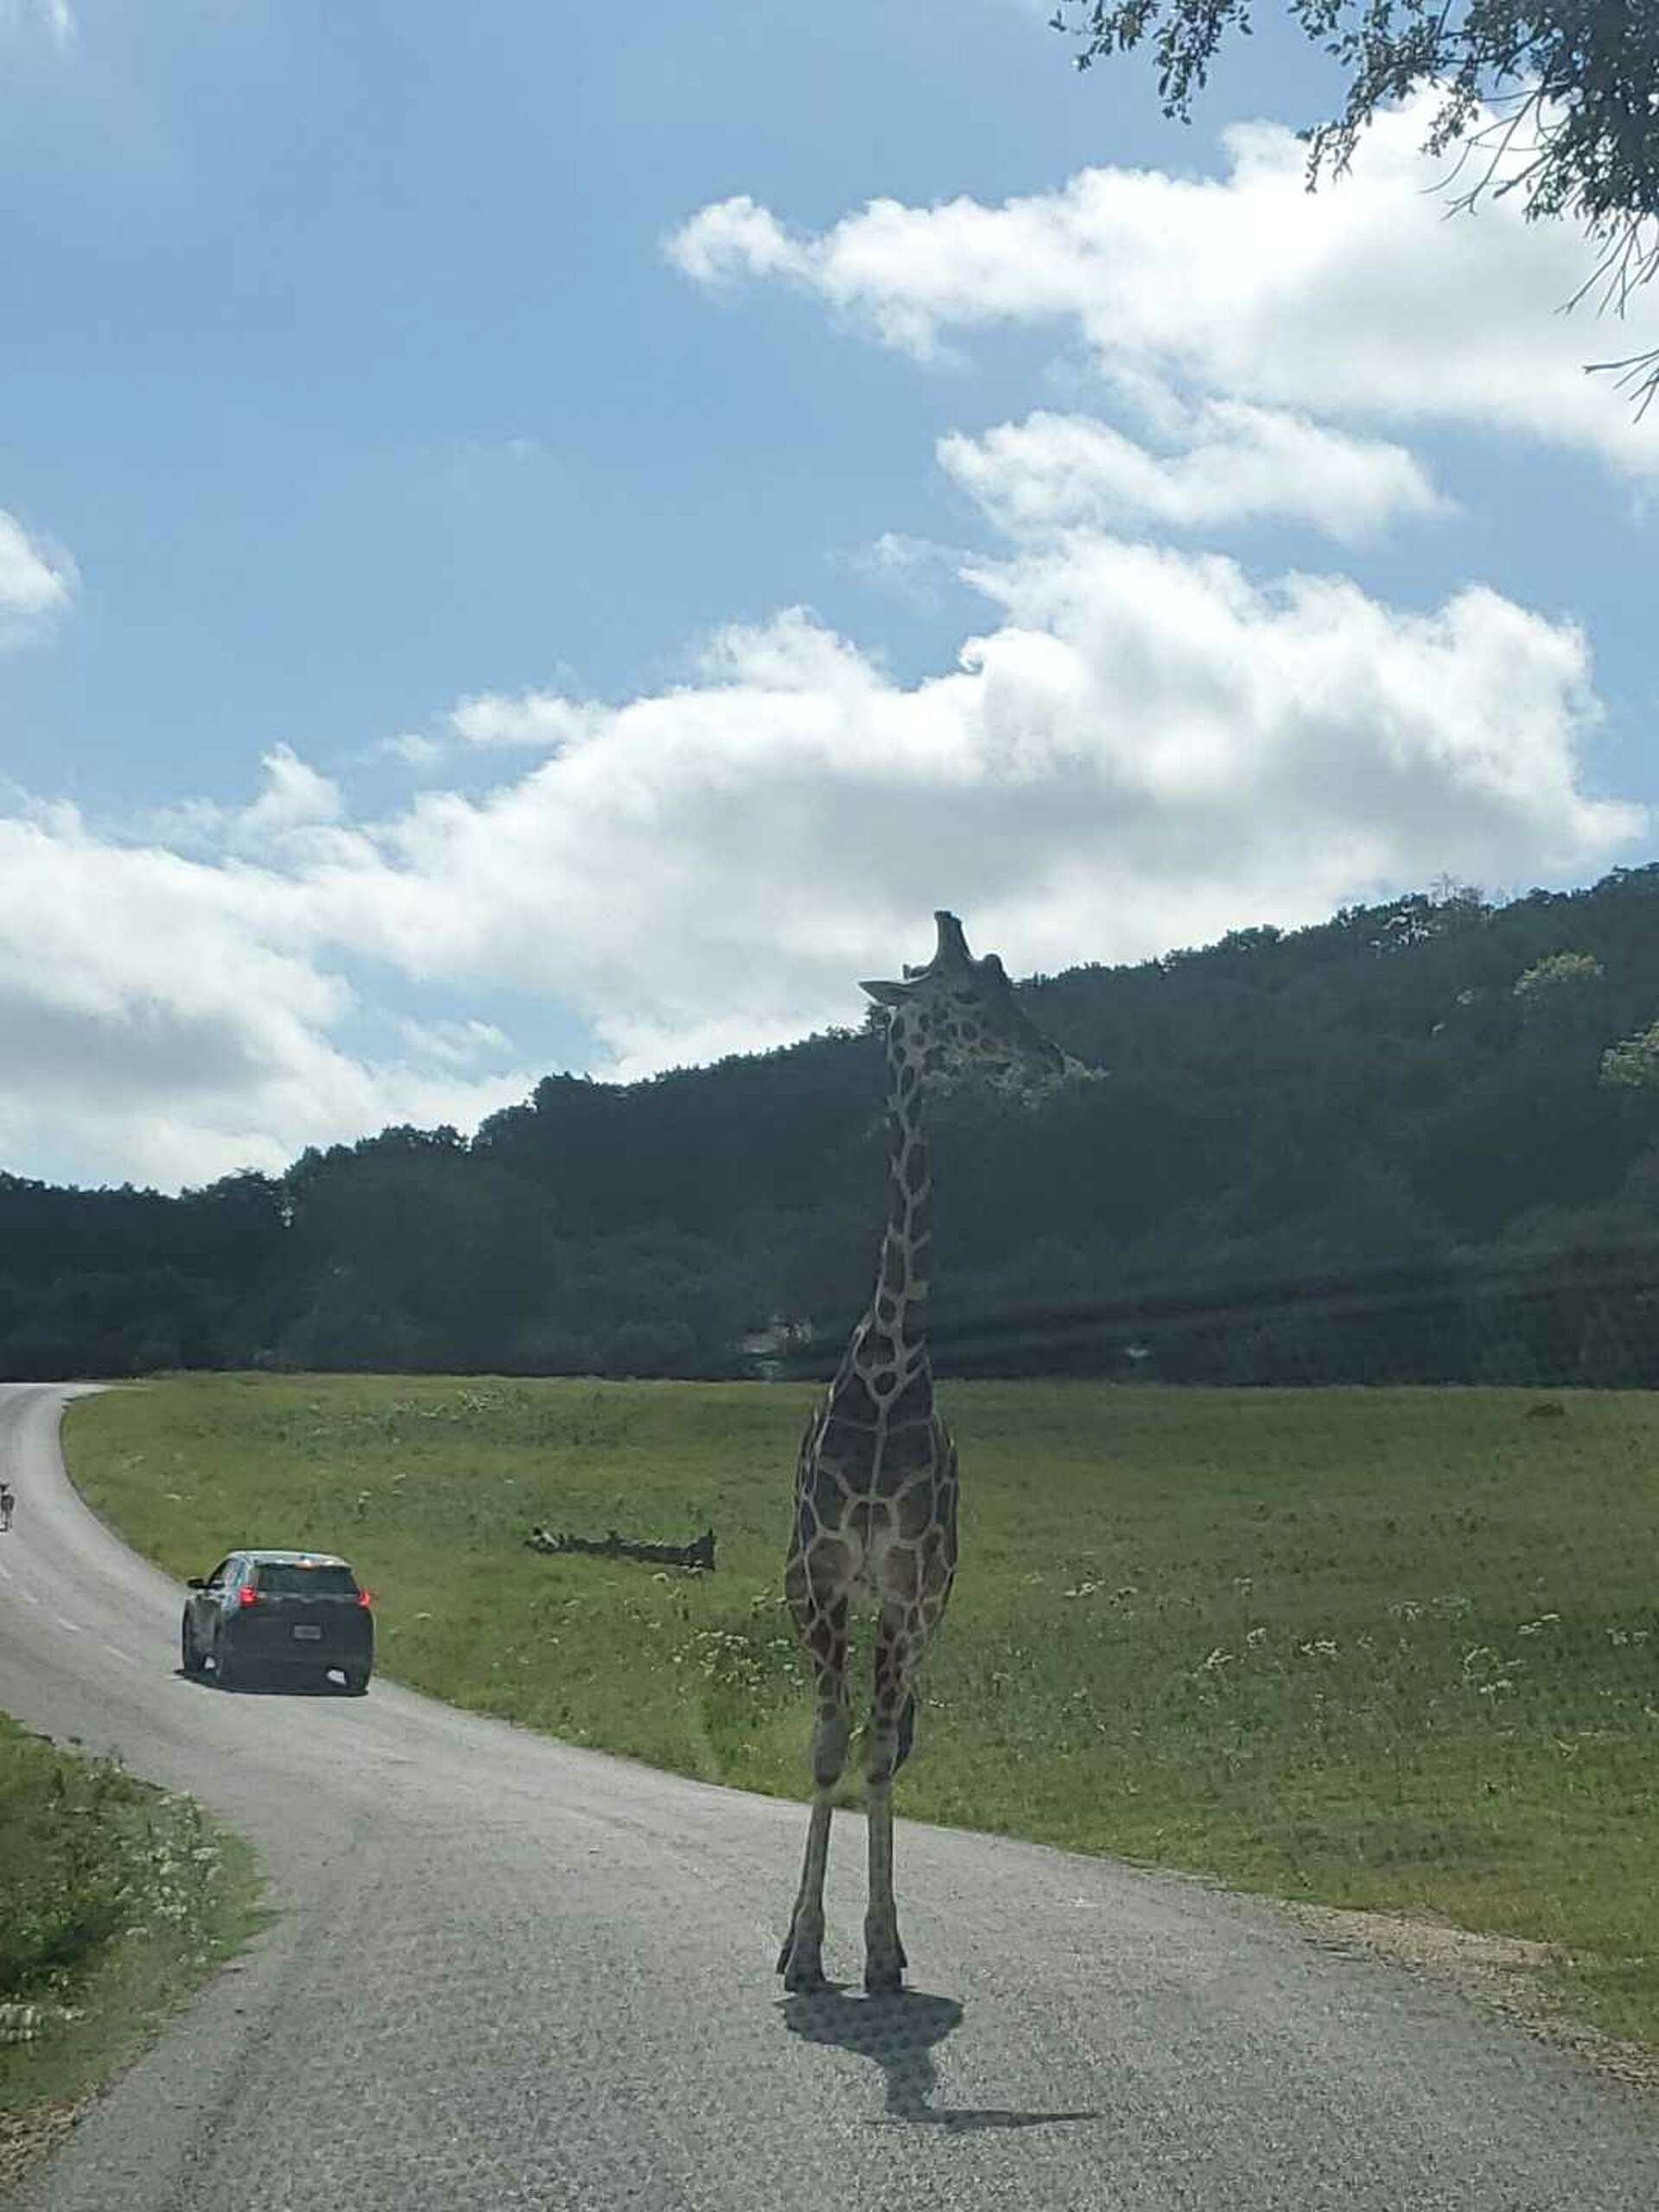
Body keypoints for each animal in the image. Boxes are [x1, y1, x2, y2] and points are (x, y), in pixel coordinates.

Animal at [776, 909, 1065, 1994]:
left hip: (926, 1610)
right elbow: (826, 1749)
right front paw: (801, 1947)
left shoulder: (903, 1587)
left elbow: (871, 1753)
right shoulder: (819, 1581)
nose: (1050, 1054)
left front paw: (881, 1948)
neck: (891, 1365)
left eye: (1013, 984)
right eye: (968, 998)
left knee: (894, 1739)